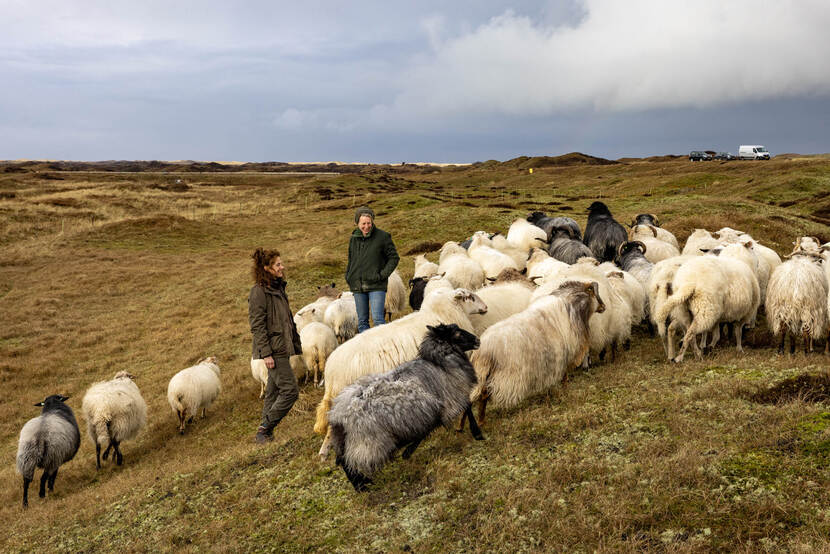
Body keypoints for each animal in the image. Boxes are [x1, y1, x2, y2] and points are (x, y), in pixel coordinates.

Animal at [328, 322, 484, 490]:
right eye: (456, 333)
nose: (477, 340)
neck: (441, 360)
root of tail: (338, 415)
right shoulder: (449, 399)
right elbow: (464, 408)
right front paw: (477, 433)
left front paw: (407, 450)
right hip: (368, 441)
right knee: (349, 461)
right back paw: (361, 485)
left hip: (353, 440)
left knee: (343, 459)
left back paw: (362, 483)